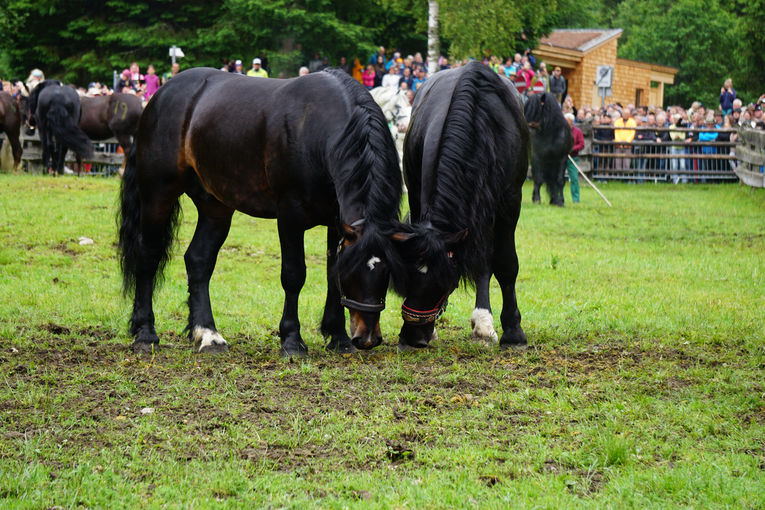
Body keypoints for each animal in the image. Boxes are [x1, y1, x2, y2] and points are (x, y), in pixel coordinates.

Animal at [118, 66, 406, 354]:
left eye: (387, 271)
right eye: (355, 269)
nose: (367, 338)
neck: (318, 131)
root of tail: (159, 96)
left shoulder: (337, 222)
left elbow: (331, 274)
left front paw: (338, 337)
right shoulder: (290, 215)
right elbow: (294, 274)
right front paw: (291, 339)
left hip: (215, 207)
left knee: (198, 260)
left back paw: (207, 333)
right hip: (158, 194)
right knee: (148, 255)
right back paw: (146, 332)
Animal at [390, 60, 528, 350]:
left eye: (441, 280)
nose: (412, 337)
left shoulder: (510, 201)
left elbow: (505, 263)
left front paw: (511, 331)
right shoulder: (420, 193)